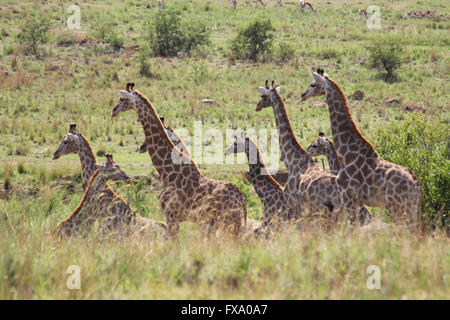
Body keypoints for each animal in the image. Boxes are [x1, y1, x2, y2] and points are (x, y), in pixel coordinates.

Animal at [111, 83, 246, 238]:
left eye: (122, 99)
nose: (113, 111)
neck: (166, 170)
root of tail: (241, 199)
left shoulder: (172, 215)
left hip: (229, 222)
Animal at [298, 70, 422, 228]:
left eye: (313, 84)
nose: (303, 94)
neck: (346, 152)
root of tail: (416, 183)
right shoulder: (353, 200)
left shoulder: (348, 195)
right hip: (411, 207)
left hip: (399, 206)